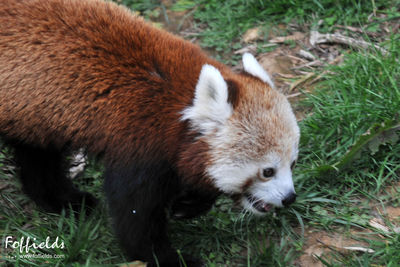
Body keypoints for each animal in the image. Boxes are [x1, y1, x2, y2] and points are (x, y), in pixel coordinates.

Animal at [0, 0, 300, 264]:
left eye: (293, 163)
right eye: (267, 171)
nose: (289, 198)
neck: (178, 105)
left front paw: (188, 204)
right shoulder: (138, 141)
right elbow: (135, 214)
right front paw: (168, 258)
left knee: (37, 155)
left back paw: (63, 200)